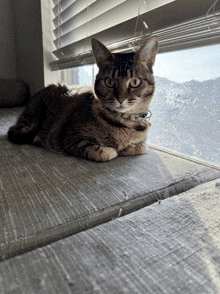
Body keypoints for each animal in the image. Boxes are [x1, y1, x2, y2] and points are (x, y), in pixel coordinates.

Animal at [7, 36, 158, 162]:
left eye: (135, 82)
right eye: (109, 82)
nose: (120, 99)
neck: (125, 122)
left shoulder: (141, 142)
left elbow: (141, 147)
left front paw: (128, 147)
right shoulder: (72, 139)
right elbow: (107, 153)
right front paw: (115, 149)